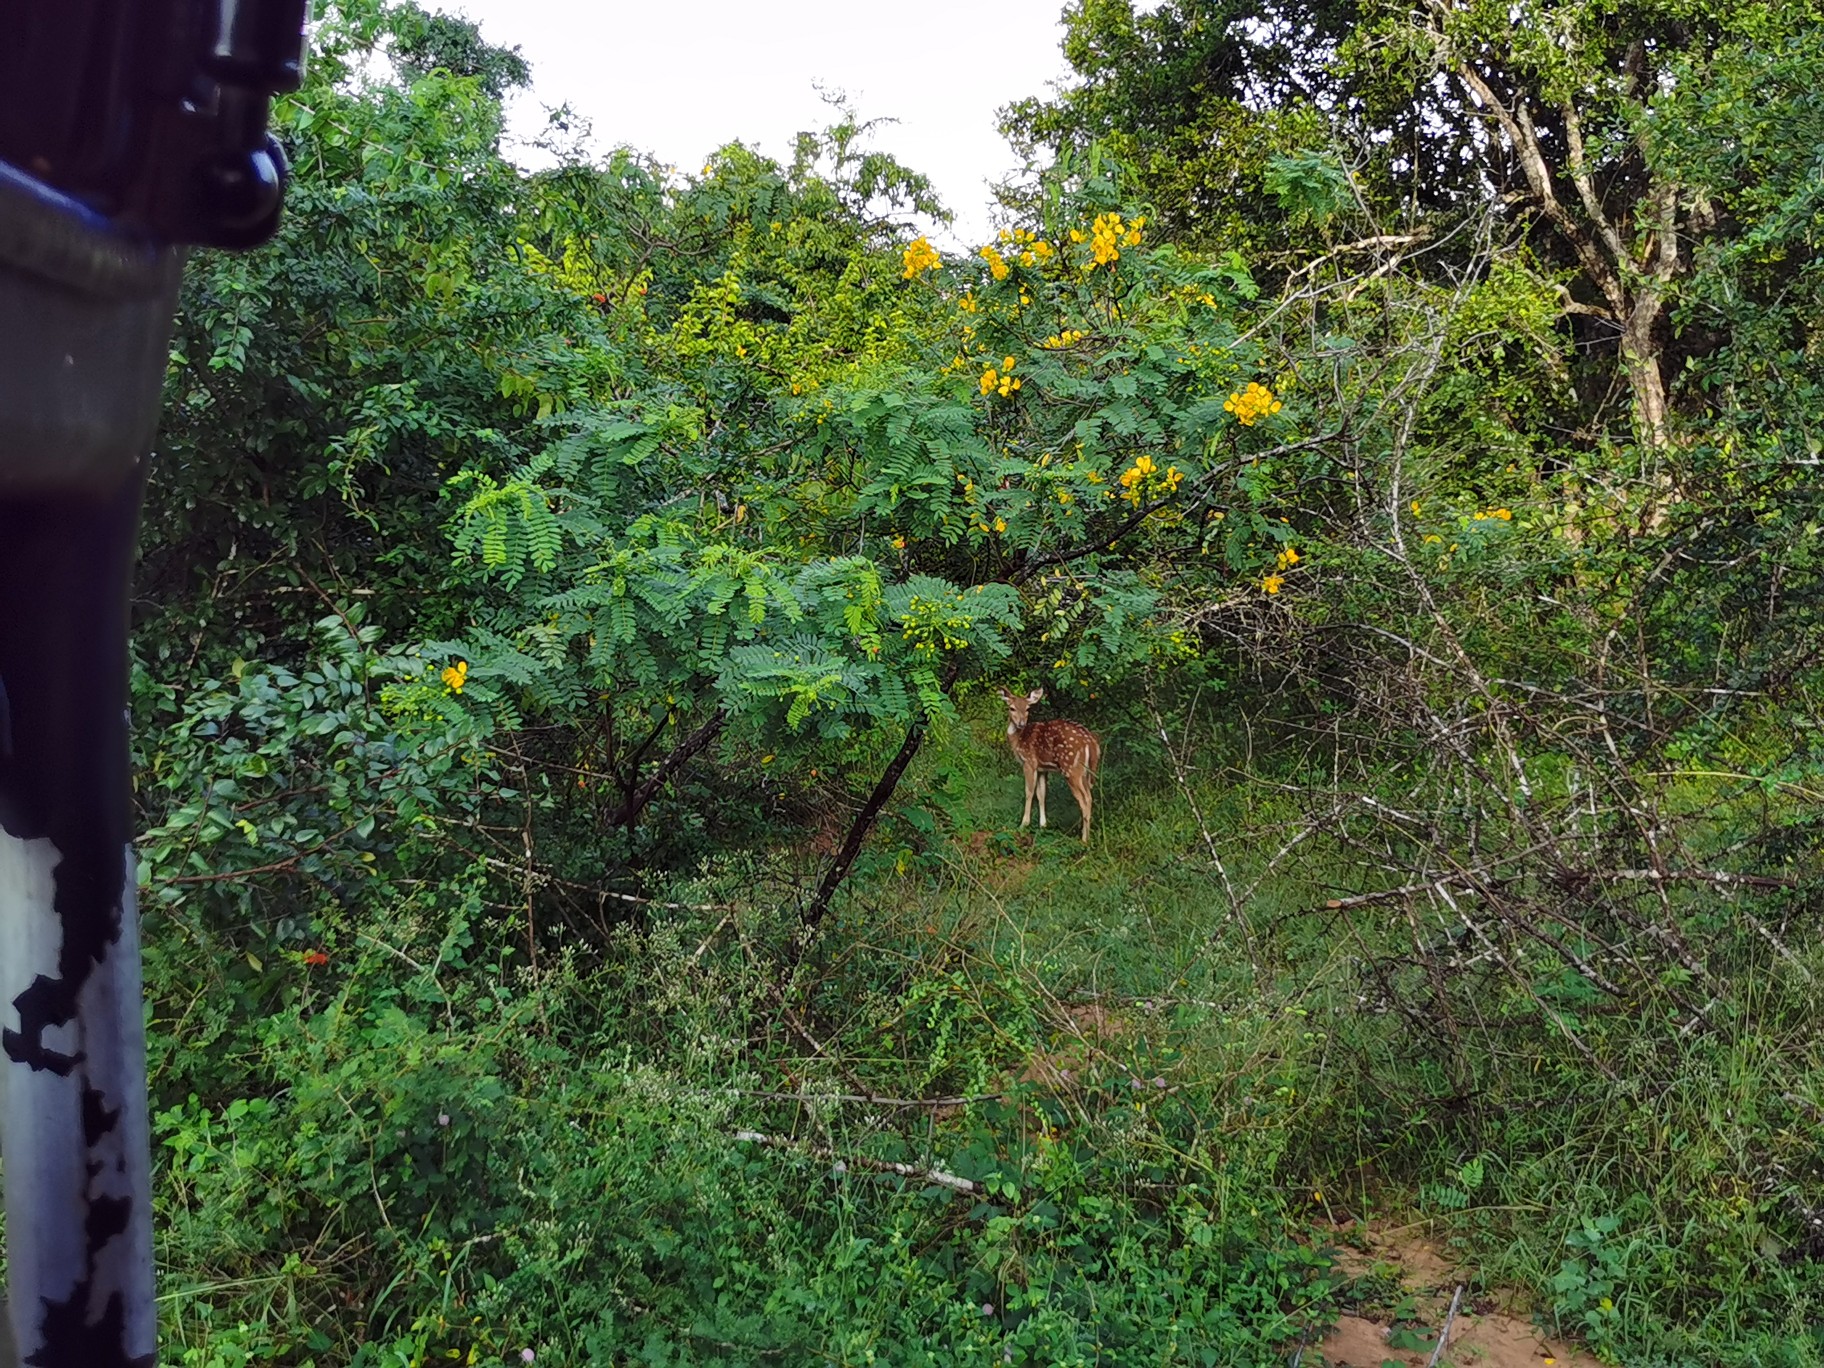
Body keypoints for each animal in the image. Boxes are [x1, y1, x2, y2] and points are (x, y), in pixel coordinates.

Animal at [999, 689, 1094, 842]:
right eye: (1011, 708)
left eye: (1027, 708)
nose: (1021, 723)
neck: (1018, 739)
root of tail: (1089, 742)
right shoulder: (1042, 768)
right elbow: (1041, 794)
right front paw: (1043, 825)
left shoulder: (1029, 762)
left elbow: (1029, 792)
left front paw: (1023, 824)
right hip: (1084, 772)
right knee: (1089, 797)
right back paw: (1087, 836)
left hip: (1072, 769)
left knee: (1084, 799)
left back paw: (1084, 839)